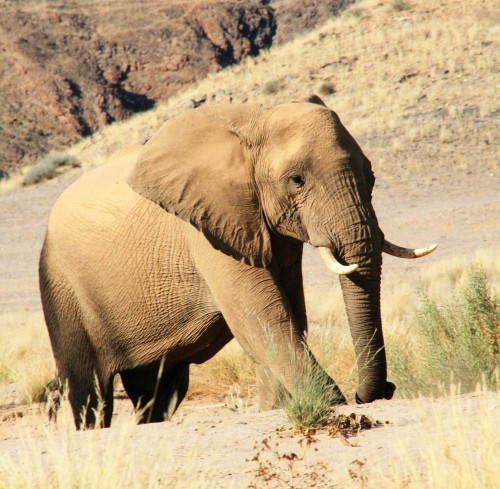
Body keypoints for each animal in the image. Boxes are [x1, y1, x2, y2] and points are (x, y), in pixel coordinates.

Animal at [39, 95, 436, 428]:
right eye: (296, 180)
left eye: (371, 175)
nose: (378, 392)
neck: (256, 121)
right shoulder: (206, 227)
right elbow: (264, 315)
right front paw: (330, 402)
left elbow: (290, 313)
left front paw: (276, 405)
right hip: (59, 280)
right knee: (88, 390)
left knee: (157, 391)